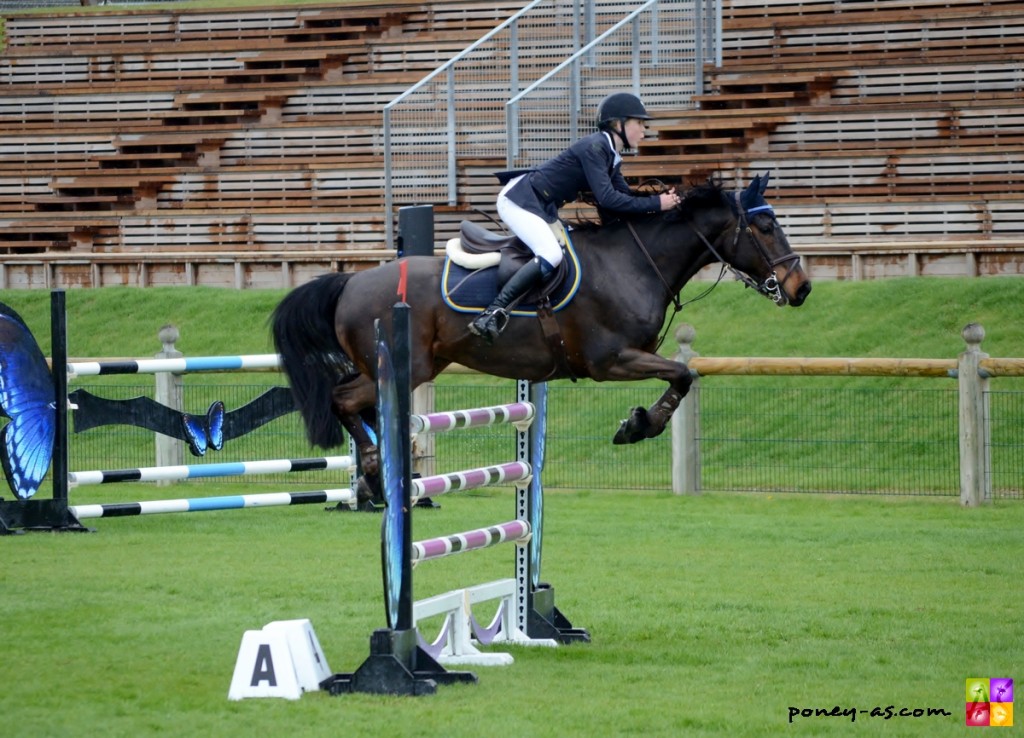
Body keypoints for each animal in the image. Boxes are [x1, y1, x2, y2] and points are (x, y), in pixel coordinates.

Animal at [272, 176, 806, 491]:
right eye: (764, 225)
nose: (801, 288)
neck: (634, 263)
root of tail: (350, 281)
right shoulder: (610, 361)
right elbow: (682, 375)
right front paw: (638, 426)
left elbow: (683, 376)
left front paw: (637, 422)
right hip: (409, 365)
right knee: (345, 399)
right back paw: (374, 471)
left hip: (417, 363)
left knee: (361, 405)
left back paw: (380, 475)